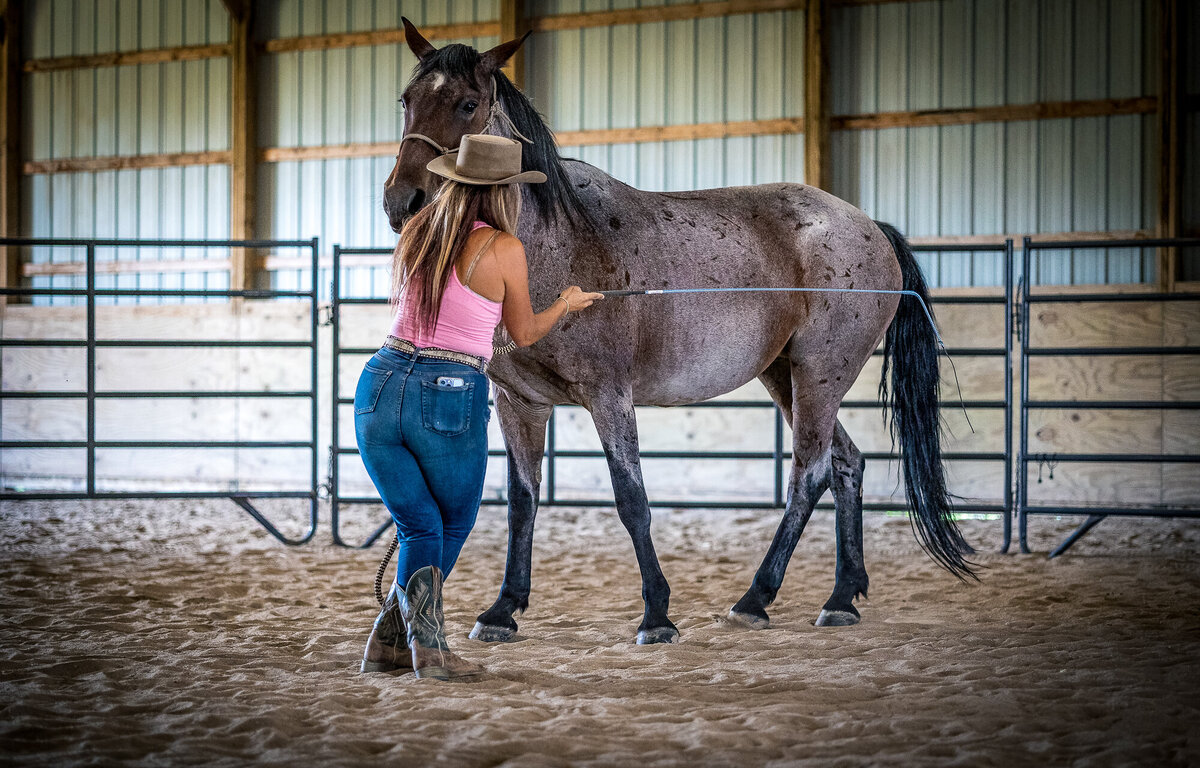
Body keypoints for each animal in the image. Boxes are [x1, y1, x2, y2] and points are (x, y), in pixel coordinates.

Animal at [384, 21, 974, 643]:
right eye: (407, 100)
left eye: (467, 104)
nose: (403, 202)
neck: (555, 245)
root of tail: (871, 227)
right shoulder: (519, 401)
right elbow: (522, 501)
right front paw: (502, 609)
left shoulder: (609, 396)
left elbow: (631, 500)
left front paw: (656, 615)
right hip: (785, 377)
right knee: (845, 466)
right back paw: (842, 596)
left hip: (819, 375)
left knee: (809, 474)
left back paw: (755, 598)